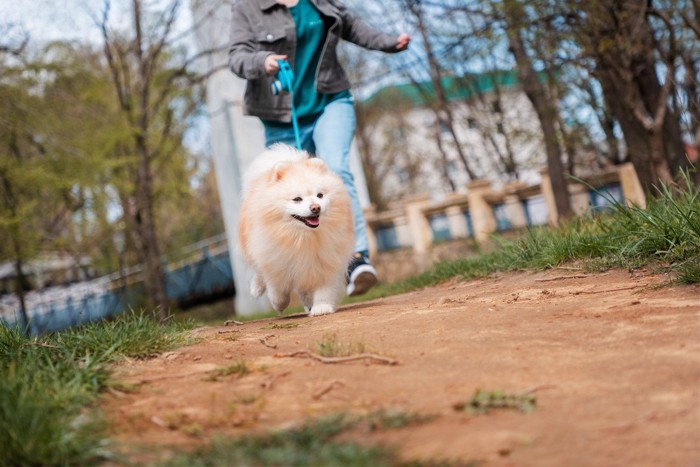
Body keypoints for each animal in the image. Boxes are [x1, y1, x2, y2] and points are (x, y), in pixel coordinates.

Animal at [238, 144, 356, 316]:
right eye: (297, 199)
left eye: (320, 195)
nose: (315, 208)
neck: (302, 237)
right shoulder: (275, 258)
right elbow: (277, 287)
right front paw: (278, 304)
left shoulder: (326, 258)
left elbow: (324, 287)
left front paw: (321, 307)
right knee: (259, 271)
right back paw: (257, 288)